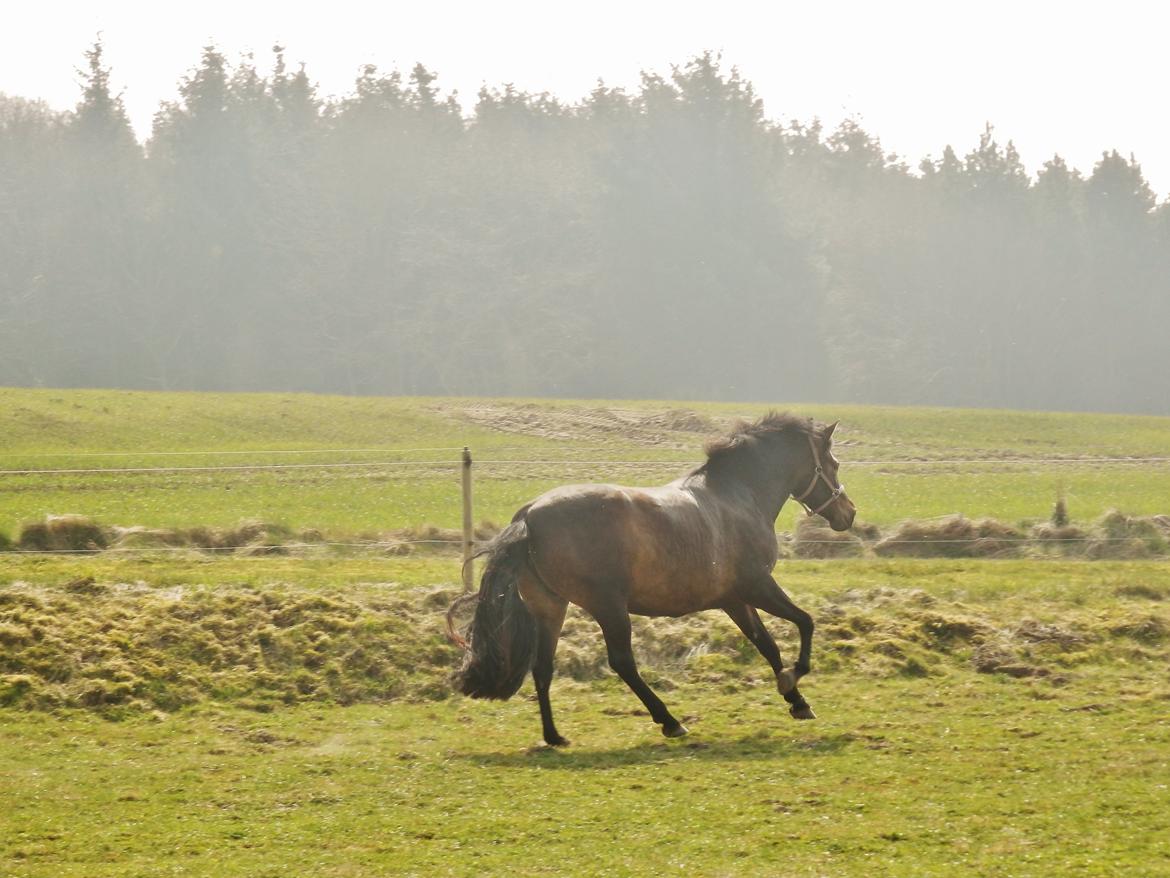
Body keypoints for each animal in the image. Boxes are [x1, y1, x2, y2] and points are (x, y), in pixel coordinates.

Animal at [442, 416, 856, 744]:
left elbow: (767, 645)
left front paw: (797, 701)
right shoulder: (757, 586)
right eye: (833, 463)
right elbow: (805, 622)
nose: (848, 513)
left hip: (550, 607)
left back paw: (555, 736)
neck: (738, 497)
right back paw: (670, 722)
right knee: (622, 663)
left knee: (542, 666)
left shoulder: (734, 599)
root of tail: (529, 516)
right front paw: (793, 680)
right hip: (608, 606)